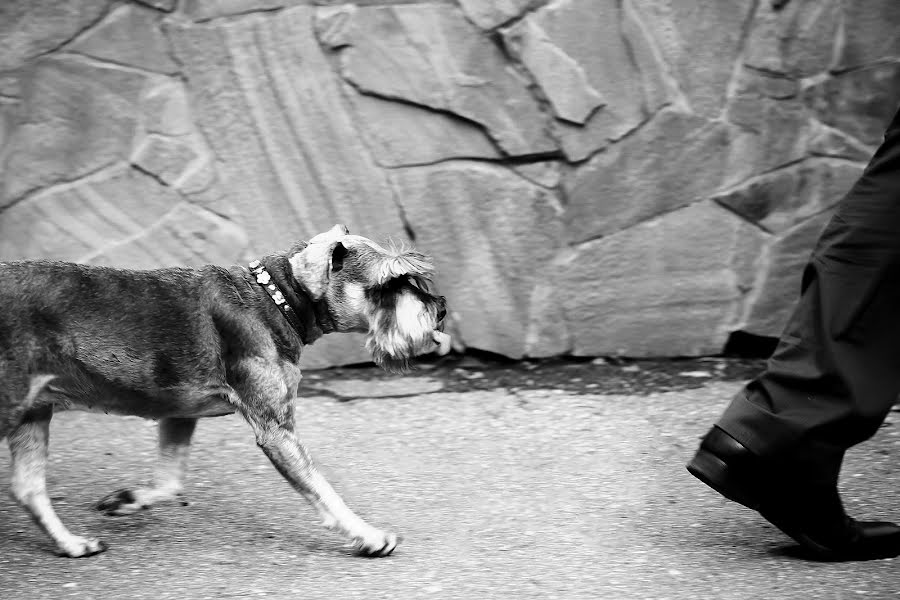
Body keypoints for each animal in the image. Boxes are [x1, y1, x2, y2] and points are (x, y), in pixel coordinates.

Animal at [0, 225, 450, 556]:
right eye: (389, 283)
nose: (441, 307)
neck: (277, 299)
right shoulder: (276, 430)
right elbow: (323, 490)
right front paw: (370, 535)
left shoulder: (179, 414)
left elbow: (169, 481)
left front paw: (127, 499)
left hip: (33, 414)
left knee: (28, 488)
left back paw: (72, 543)